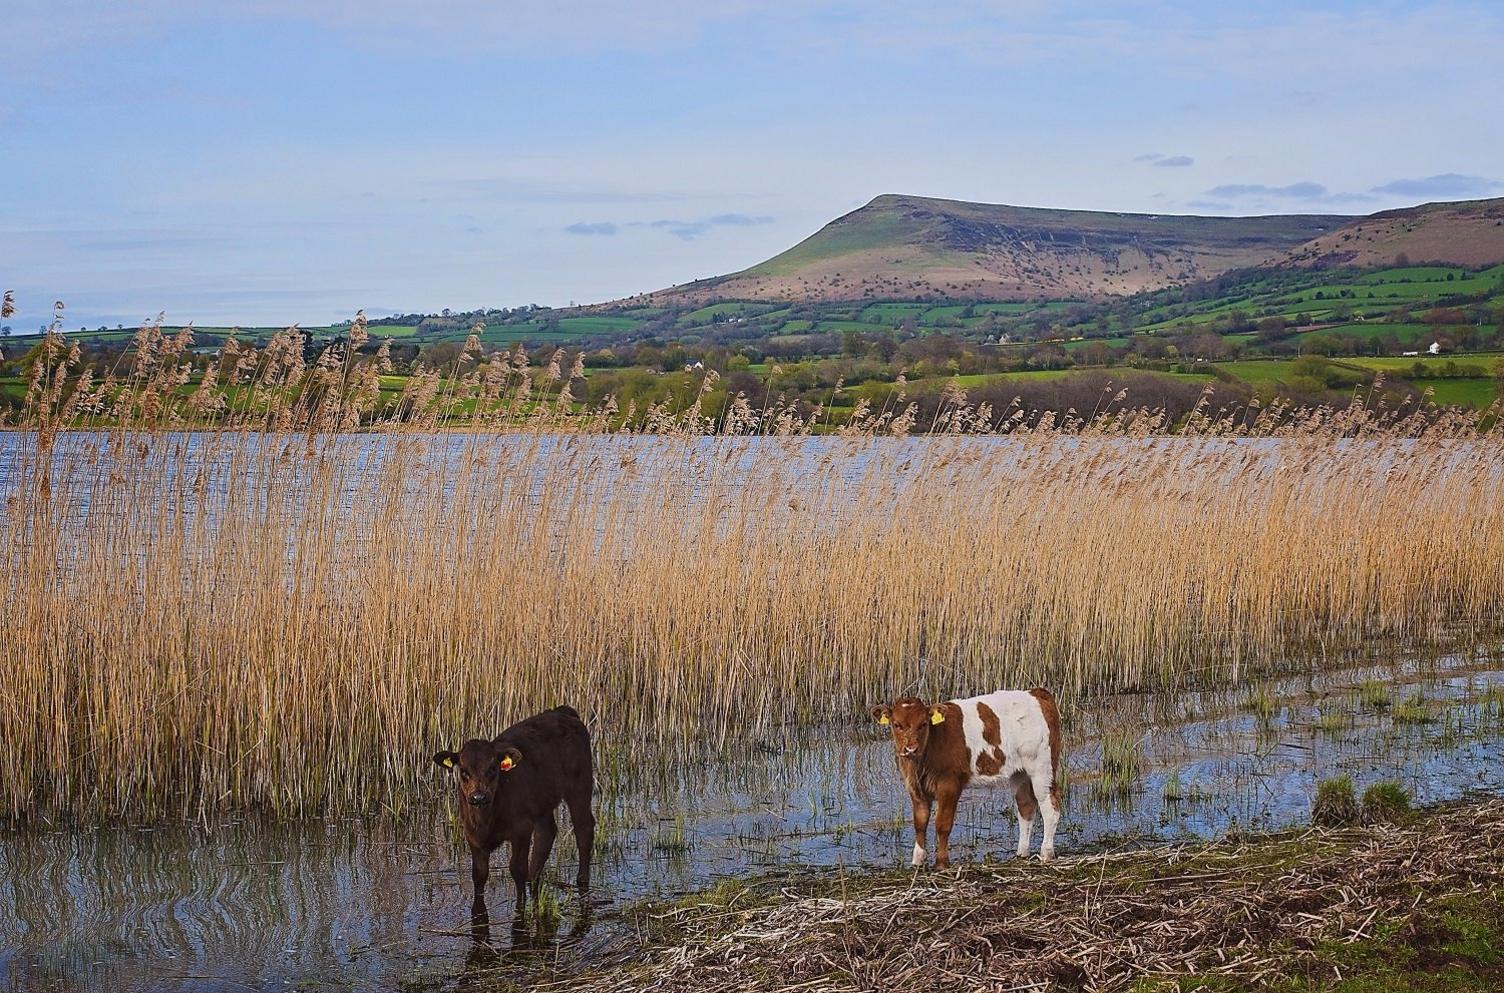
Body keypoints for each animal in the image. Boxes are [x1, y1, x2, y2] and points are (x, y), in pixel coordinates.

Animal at [433, 701, 595, 920]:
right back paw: (534, 878)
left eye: (493, 769)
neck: (486, 820)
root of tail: (562, 712)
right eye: (464, 771)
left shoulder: (521, 830)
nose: (478, 797)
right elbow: (479, 874)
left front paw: (521, 906)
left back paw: (581, 880)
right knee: (546, 834)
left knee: (583, 829)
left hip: (579, 787)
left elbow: (516, 869)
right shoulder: (472, 835)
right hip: (541, 803)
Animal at [866, 686, 1064, 866]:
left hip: (1042, 766)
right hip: (1019, 771)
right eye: (896, 724)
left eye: (923, 724)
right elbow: (920, 823)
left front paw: (942, 863)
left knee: (1050, 806)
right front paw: (917, 861)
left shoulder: (950, 783)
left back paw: (1046, 853)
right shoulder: (915, 787)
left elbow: (943, 824)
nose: (910, 748)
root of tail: (1037, 692)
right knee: (1026, 806)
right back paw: (1022, 852)